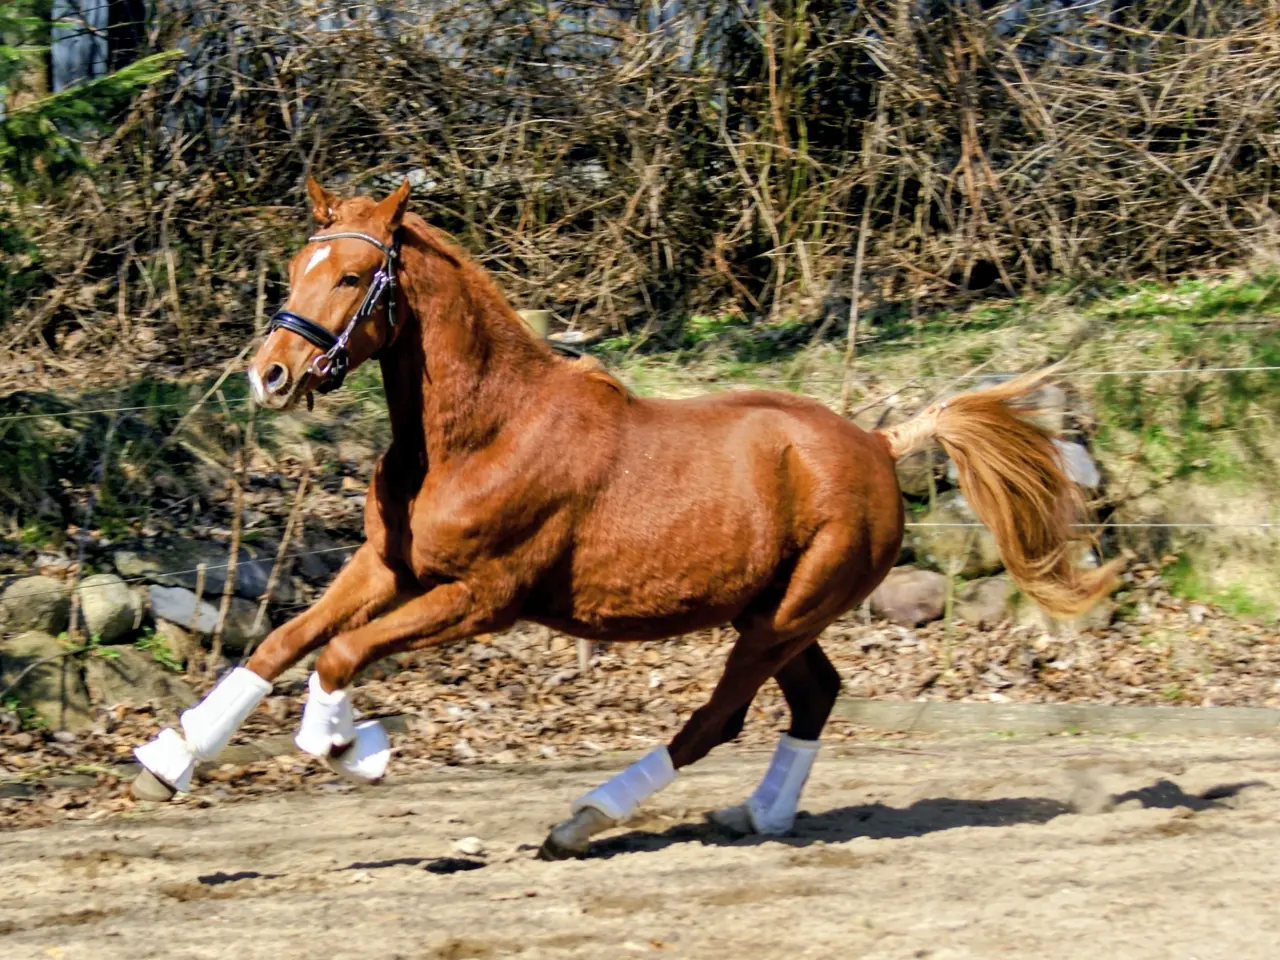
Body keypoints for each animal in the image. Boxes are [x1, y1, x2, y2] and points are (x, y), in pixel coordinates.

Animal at [131, 177, 1120, 858]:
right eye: (297, 266)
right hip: (778, 615)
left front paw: (350, 747)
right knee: (814, 696)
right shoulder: (388, 564)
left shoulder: (483, 597)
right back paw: (758, 814)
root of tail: (880, 444)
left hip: (785, 614)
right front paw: (172, 757)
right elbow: (282, 640)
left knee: (719, 718)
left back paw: (585, 818)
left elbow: (338, 654)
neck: (482, 433)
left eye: (354, 273)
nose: (271, 375)